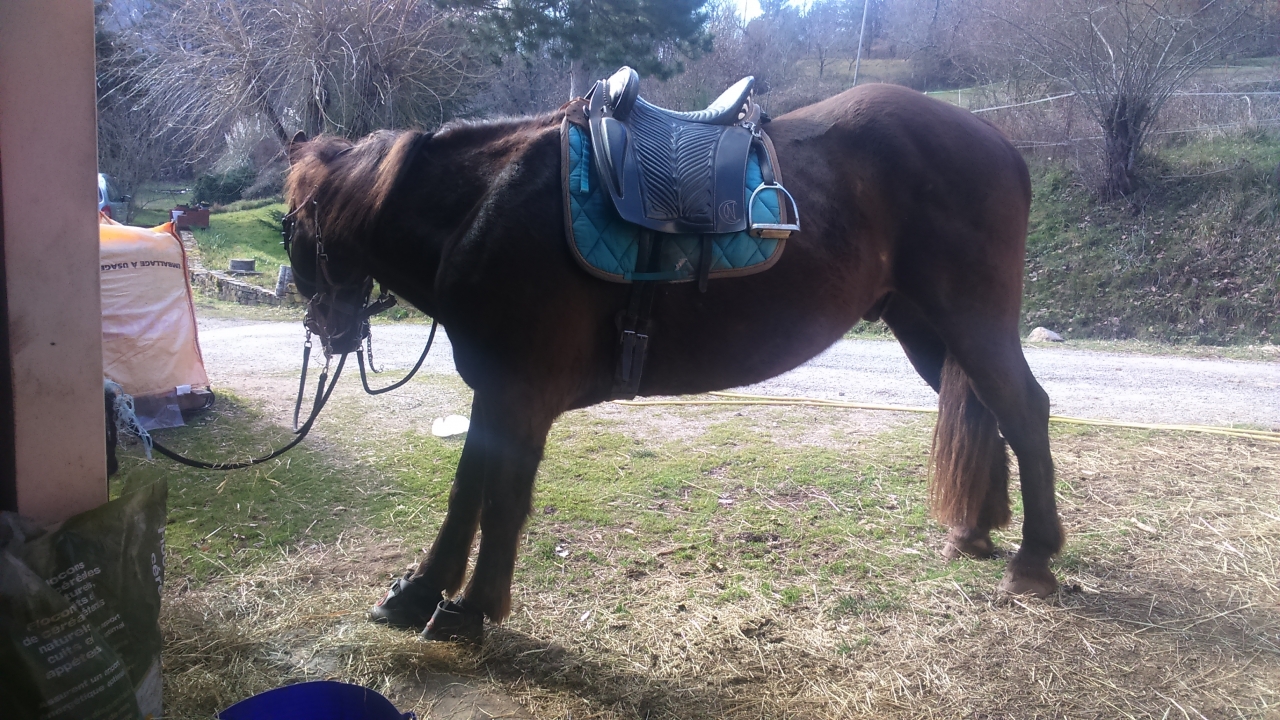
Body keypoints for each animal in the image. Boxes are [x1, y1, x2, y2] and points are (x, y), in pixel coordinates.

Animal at [282, 82, 1062, 642]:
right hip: (927, 328)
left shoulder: (519, 393)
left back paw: (1034, 561)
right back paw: (975, 532)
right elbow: (467, 492)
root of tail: (1001, 143)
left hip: (972, 319)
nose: (327, 327)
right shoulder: (493, 392)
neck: (483, 209)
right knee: (985, 406)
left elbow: (500, 499)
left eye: (289, 228)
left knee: (1025, 409)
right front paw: (418, 593)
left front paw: (469, 611)